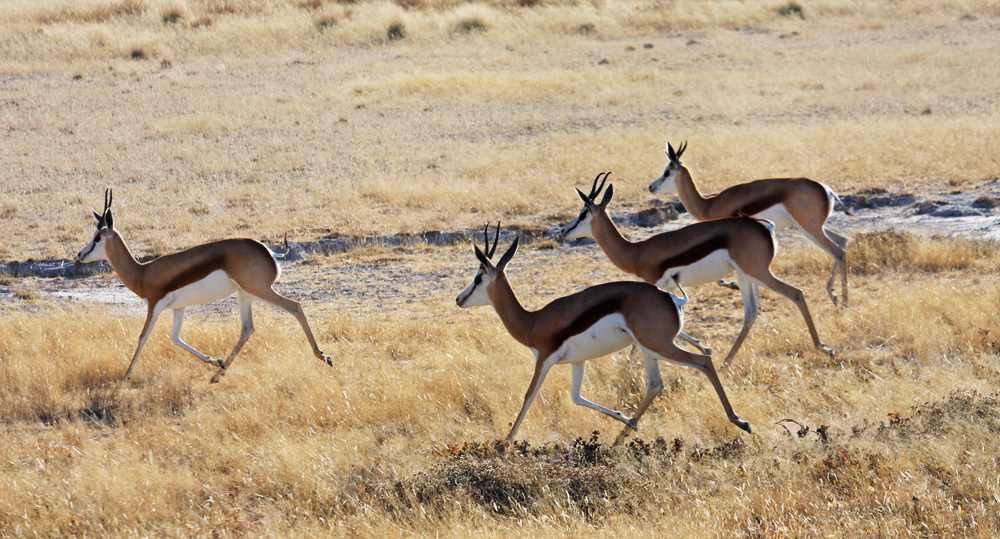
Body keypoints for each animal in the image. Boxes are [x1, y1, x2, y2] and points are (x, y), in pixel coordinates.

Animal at [76, 190, 332, 384]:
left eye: (98, 237)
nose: (79, 255)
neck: (142, 272)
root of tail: (268, 251)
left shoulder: (154, 305)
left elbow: (142, 337)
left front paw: (125, 378)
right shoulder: (178, 308)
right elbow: (175, 338)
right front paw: (215, 361)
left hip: (259, 289)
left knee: (295, 306)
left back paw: (324, 356)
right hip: (244, 294)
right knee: (247, 328)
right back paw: (217, 375)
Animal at [456, 223, 752, 442]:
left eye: (478, 278)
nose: (459, 299)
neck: (531, 321)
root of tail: (670, 298)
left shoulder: (544, 359)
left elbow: (529, 395)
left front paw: (504, 445)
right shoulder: (577, 362)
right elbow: (576, 398)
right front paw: (628, 419)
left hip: (658, 345)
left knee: (704, 361)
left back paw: (741, 422)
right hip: (649, 349)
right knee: (656, 384)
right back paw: (620, 437)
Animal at [564, 174, 836, 368]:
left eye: (582, 213)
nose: (563, 231)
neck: (635, 252)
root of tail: (762, 226)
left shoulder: (653, 287)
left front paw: (627, 369)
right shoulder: (665, 290)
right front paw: (704, 348)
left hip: (758, 272)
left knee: (796, 293)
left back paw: (824, 347)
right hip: (745, 275)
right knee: (752, 311)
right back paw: (727, 361)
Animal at [652, 142, 856, 308]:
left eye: (667, 172)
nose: (651, 187)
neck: (708, 205)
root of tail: (825, 188)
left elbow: (724, 279)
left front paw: (737, 287)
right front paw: (757, 302)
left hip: (809, 228)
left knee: (838, 251)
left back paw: (844, 301)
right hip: (810, 227)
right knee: (842, 241)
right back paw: (834, 295)